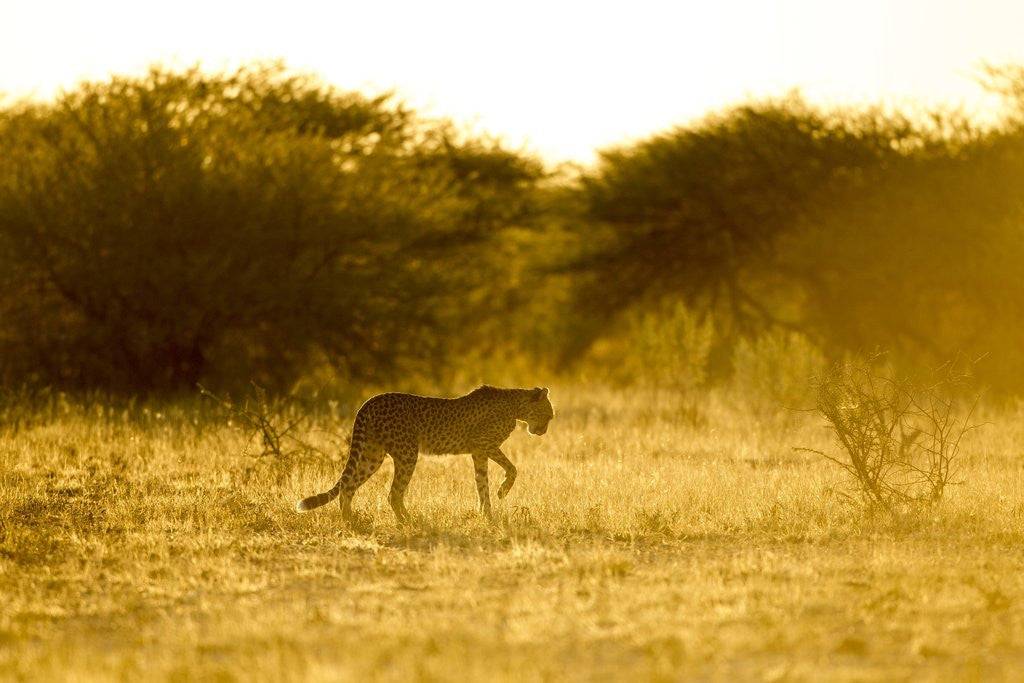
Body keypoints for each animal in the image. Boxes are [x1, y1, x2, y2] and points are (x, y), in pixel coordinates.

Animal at [295, 385, 553, 523]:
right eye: (549, 415)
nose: (543, 432)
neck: (516, 406)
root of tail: (372, 399)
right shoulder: (484, 443)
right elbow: (512, 468)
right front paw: (502, 492)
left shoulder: (479, 452)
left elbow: (482, 485)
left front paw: (487, 515)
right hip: (408, 453)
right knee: (393, 493)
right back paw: (407, 521)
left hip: (372, 455)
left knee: (348, 487)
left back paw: (351, 520)